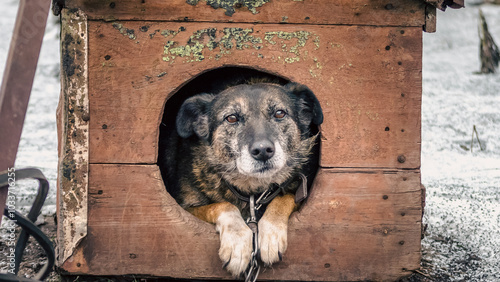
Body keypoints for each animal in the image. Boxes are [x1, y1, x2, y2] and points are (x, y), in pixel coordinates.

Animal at [159, 80, 324, 276]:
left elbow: (284, 198)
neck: (253, 192)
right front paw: (237, 245)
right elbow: (223, 205)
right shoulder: (187, 209)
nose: (263, 151)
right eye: (231, 118)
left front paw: (271, 235)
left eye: (279, 113)